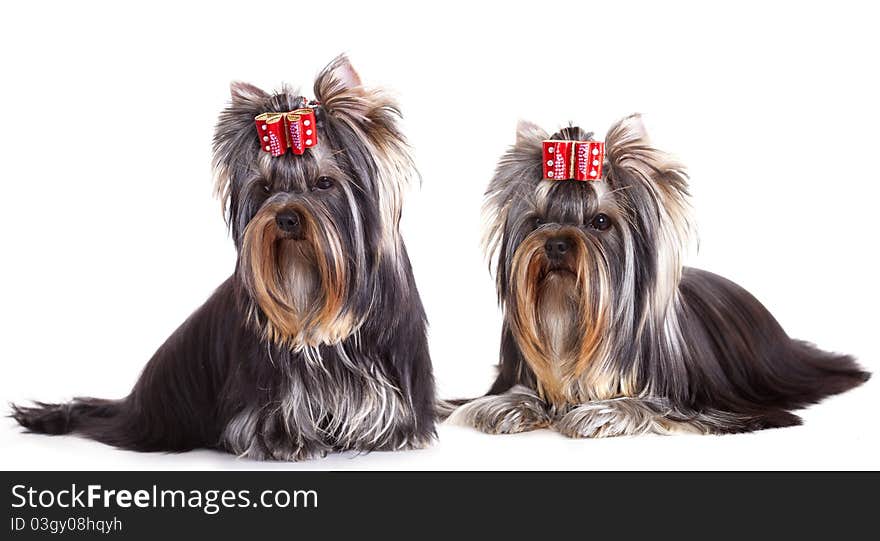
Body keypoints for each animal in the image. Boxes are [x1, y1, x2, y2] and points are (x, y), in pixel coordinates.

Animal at [12, 56, 438, 460]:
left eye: (324, 183)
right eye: (265, 188)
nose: (285, 217)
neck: (307, 276)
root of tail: (131, 404)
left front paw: (394, 436)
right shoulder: (268, 381)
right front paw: (287, 443)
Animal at [444, 116, 868, 436]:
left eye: (601, 222)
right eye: (536, 221)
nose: (556, 244)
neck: (568, 316)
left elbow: (647, 405)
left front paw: (601, 412)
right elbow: (499, 398)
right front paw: (507, 406)